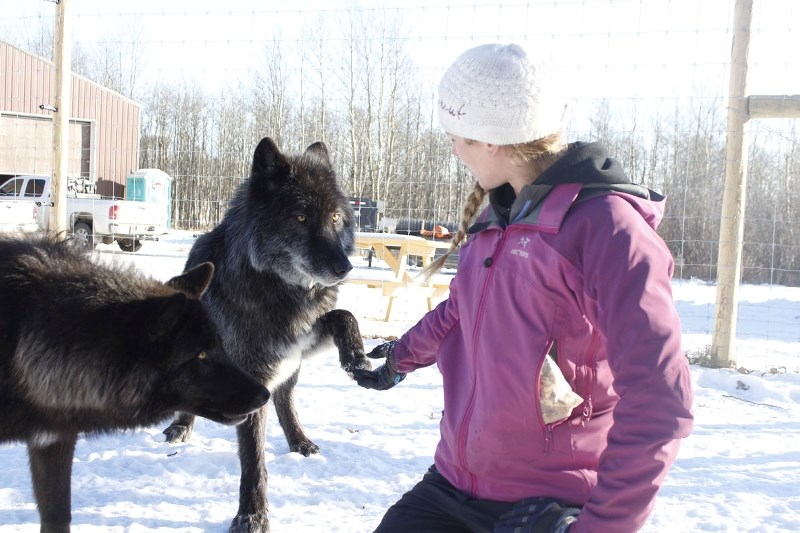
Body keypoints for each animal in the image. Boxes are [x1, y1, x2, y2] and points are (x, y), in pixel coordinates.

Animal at [163, 138, 376, 532]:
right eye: (301, 218)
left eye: (335, 218)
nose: (345, 267)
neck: (281, 288)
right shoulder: (253, 380)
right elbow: (253, 462)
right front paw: (252, 515)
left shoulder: (300, 340)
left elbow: (342, 314)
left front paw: (355, 355)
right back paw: (181, 426)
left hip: (290, 369)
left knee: (285, 400)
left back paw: (300, 441)